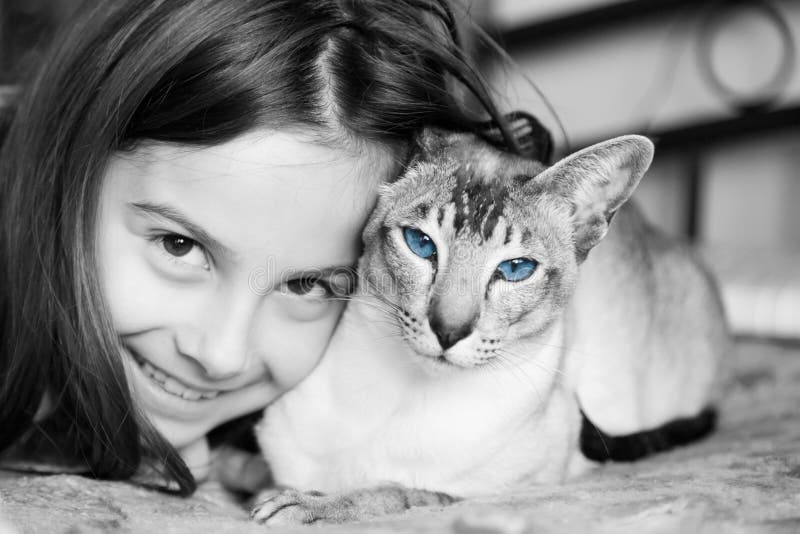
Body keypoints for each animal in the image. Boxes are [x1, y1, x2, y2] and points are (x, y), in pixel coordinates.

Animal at [252, 127, 732, 524]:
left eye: (516, 269)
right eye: (420, 243)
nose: (448, 331)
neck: (406, 393)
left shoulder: (498, 491)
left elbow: (396, 493)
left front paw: (309, 506)